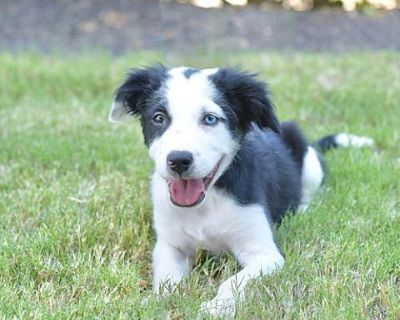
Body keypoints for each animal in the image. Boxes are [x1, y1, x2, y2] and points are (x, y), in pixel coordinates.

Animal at [108, 65, 374, 318]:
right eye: (159, 117)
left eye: (210, 119)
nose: (179, 160)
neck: (207, 201)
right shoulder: (170, 245)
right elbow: (167, 280)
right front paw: (159, 301)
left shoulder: (265, 255)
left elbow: (233, 282)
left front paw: (217, 307)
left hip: (307, 158)